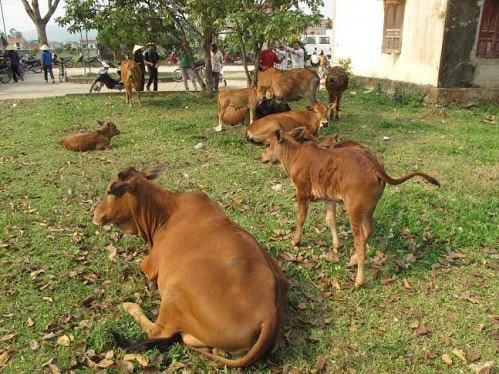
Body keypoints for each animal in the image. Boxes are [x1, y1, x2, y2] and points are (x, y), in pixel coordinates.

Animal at [93, 164, 290, 368]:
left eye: (109, 191)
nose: (95, 213)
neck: (165, 213)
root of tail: (269, 314)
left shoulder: (151, 264)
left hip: (174, 293)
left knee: (159, 332)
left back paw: (130, 306)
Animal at [260, 129, 440, 290]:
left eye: (267, 144)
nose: (260, 157)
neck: (295, 155)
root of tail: (374, 165)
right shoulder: (329, 197)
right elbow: (330, 220)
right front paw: (336, 245)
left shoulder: (302, 193)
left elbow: (301, 218)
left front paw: (295, 241)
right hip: (370, 208)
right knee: (368, 231)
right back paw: (354, 259)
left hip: (354, 209)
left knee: (360, 240)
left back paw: (359, 280)